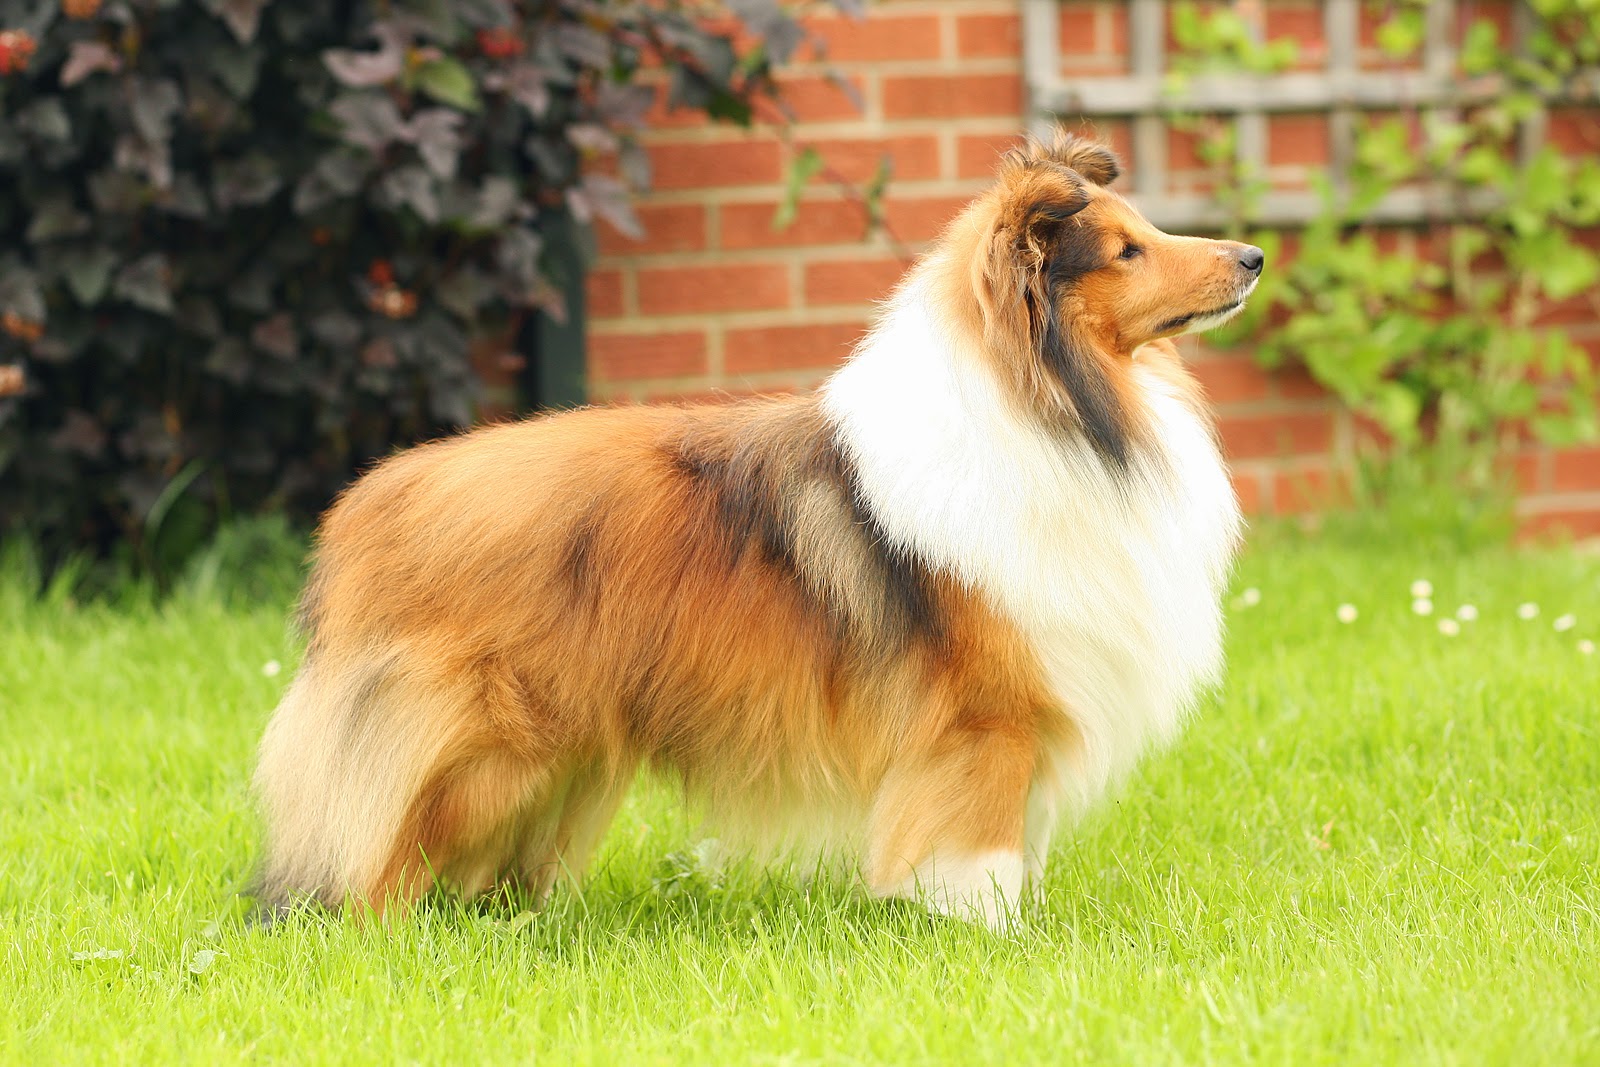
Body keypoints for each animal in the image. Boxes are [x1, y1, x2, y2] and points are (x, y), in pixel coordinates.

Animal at [256, 131, 1254, 927]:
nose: (1250, 255)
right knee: (377, 855)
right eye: (1126, 250)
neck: (1054, 409)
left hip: (559, 761)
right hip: (482, 748)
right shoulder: (985, 723)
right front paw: (993, 939)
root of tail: (368, 505)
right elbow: (983, 856)